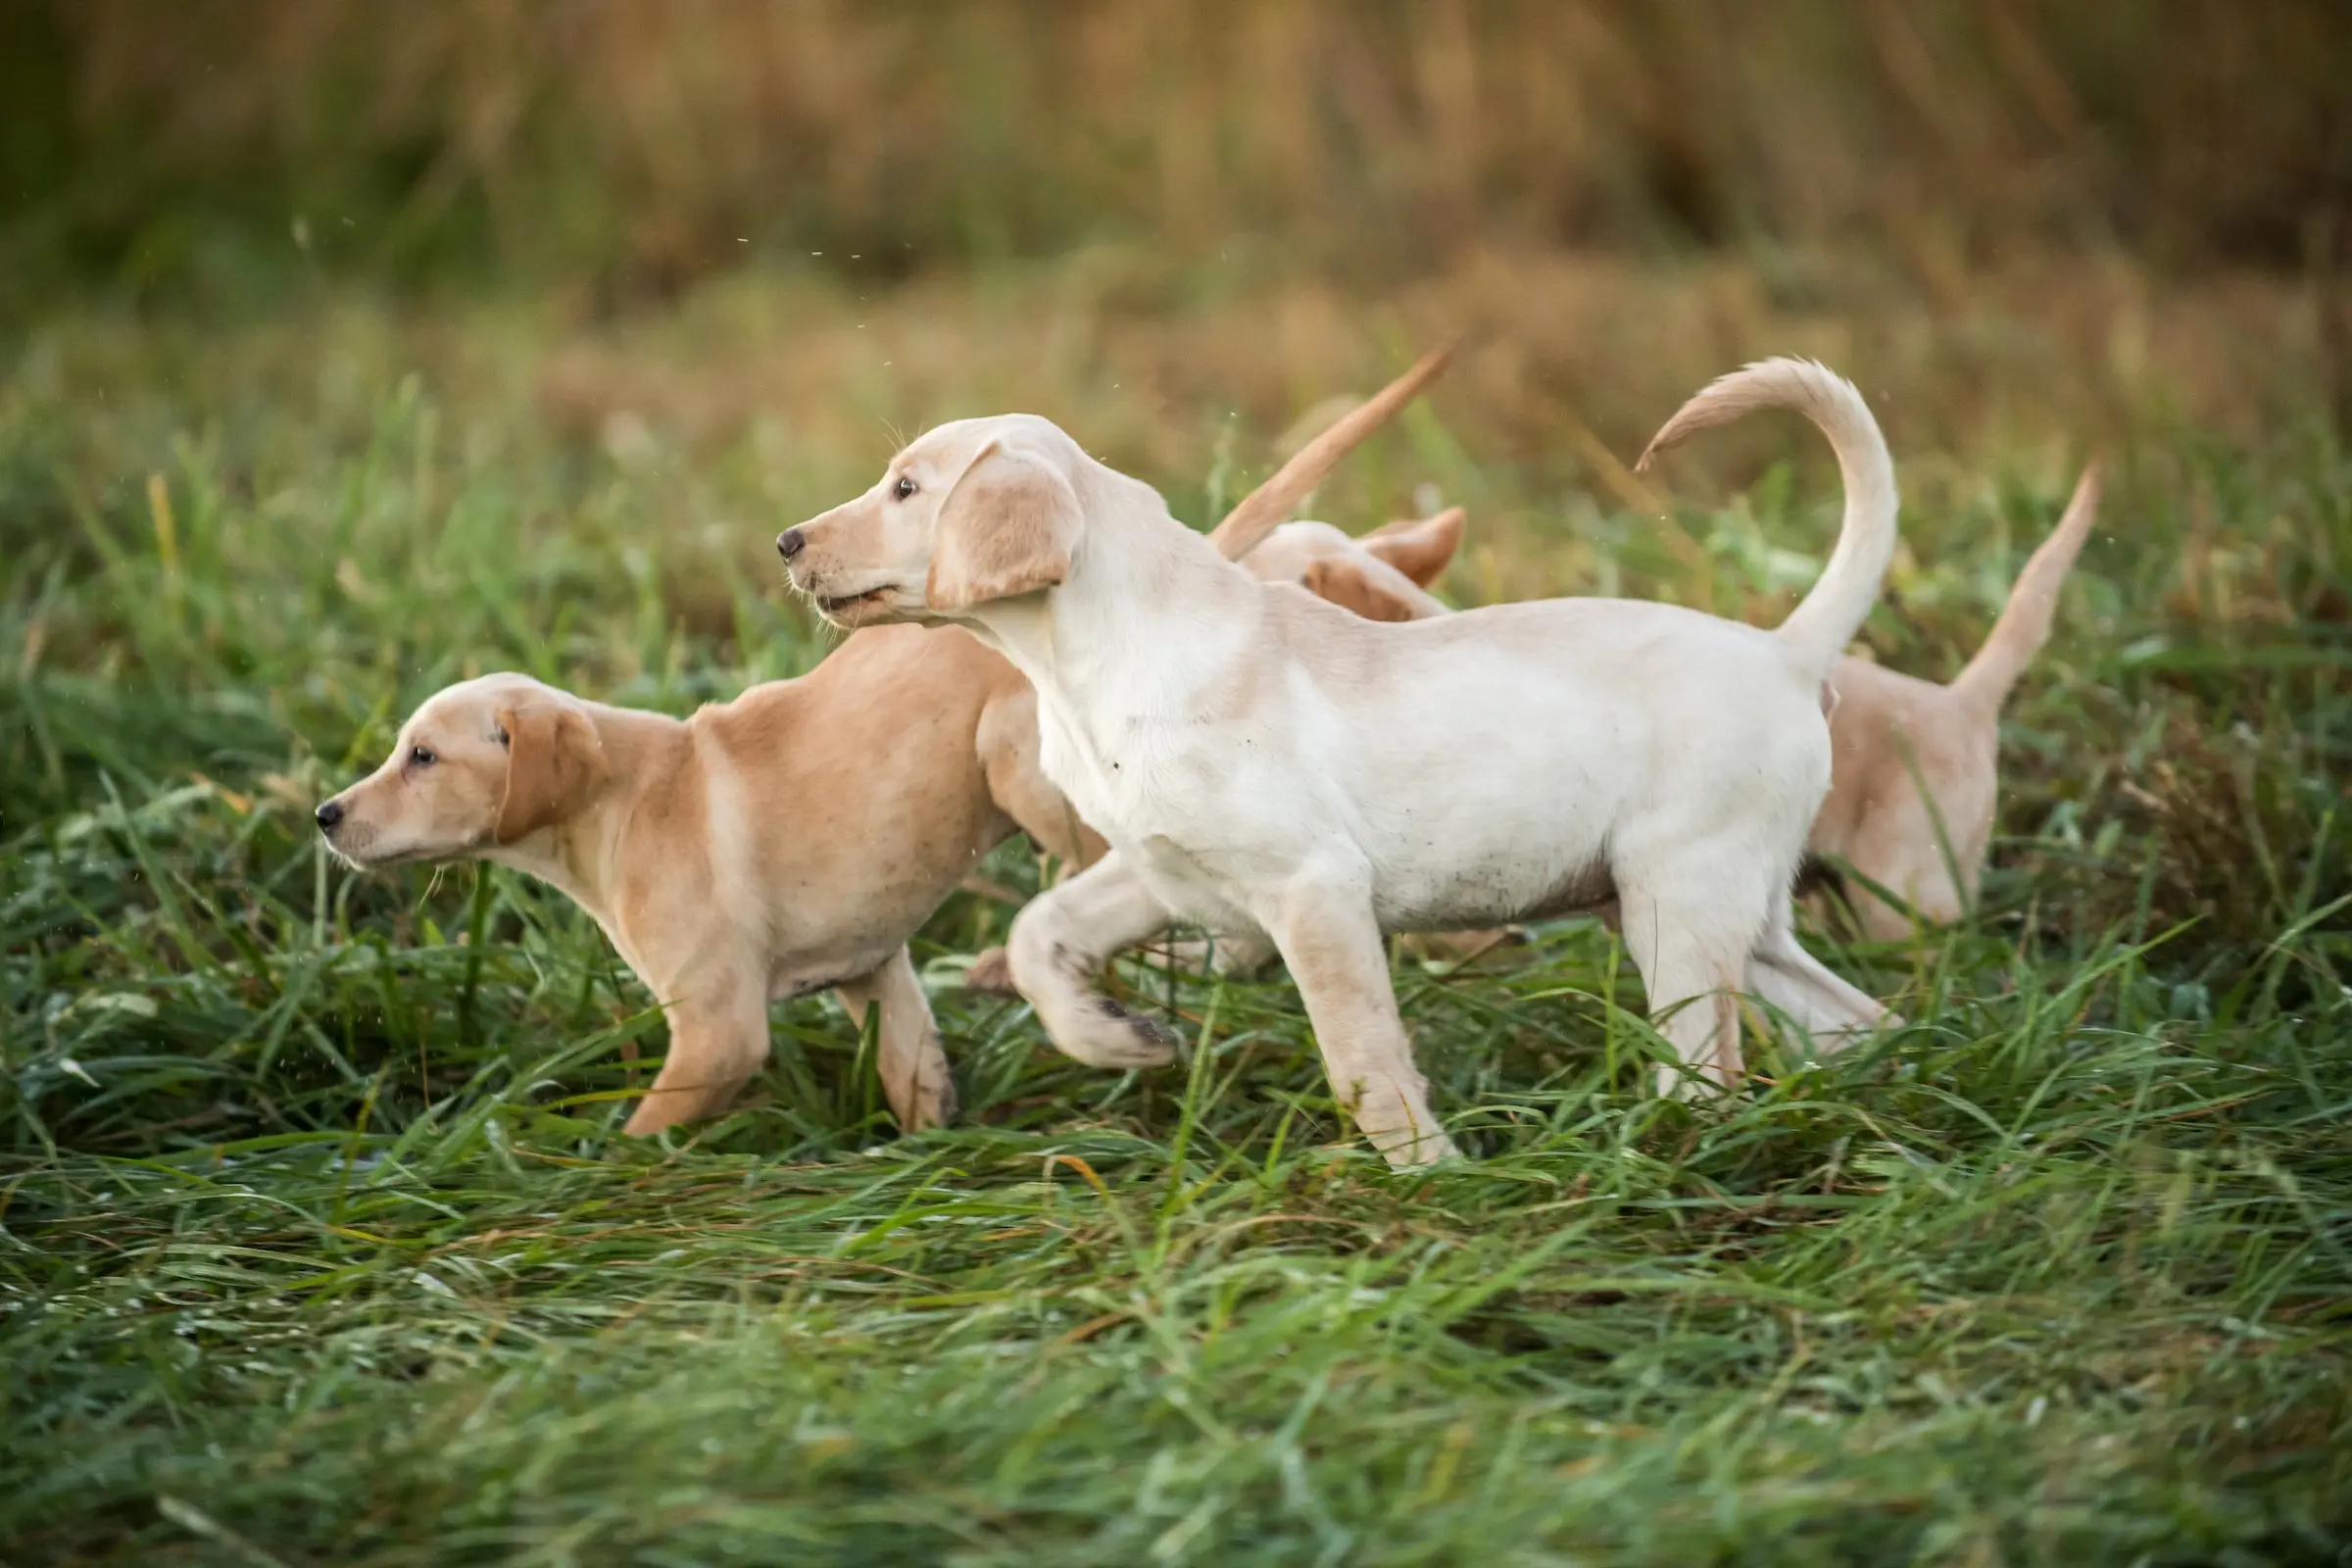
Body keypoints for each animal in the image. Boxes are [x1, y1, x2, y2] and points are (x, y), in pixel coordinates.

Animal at [780, 360, 1900, 1165]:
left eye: (906, 487)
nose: (787, 541)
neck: (1088, 660)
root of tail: (1786, 649)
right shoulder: (1157, 869)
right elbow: (1035, 935)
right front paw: (1120, 1037)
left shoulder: (1313, 889)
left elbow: (1362, 1060)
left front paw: (1430, 1181)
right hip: (1713, 912)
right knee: (1855, 1018)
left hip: (1676, 904)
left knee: (1709, 1070)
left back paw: (1662, 1160)